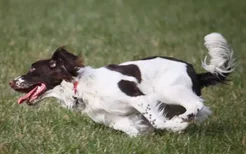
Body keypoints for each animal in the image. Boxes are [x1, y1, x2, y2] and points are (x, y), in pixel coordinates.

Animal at [8, 33, 234, 137]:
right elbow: (134, 130)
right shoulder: (114, 119)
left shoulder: (139, 98)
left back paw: (182, 120)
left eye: (32, 70)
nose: (11, 82)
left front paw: (176, 125)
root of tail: (194, 70)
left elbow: (157, 122)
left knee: (196, 105)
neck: (81, 86)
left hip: (167, 90)